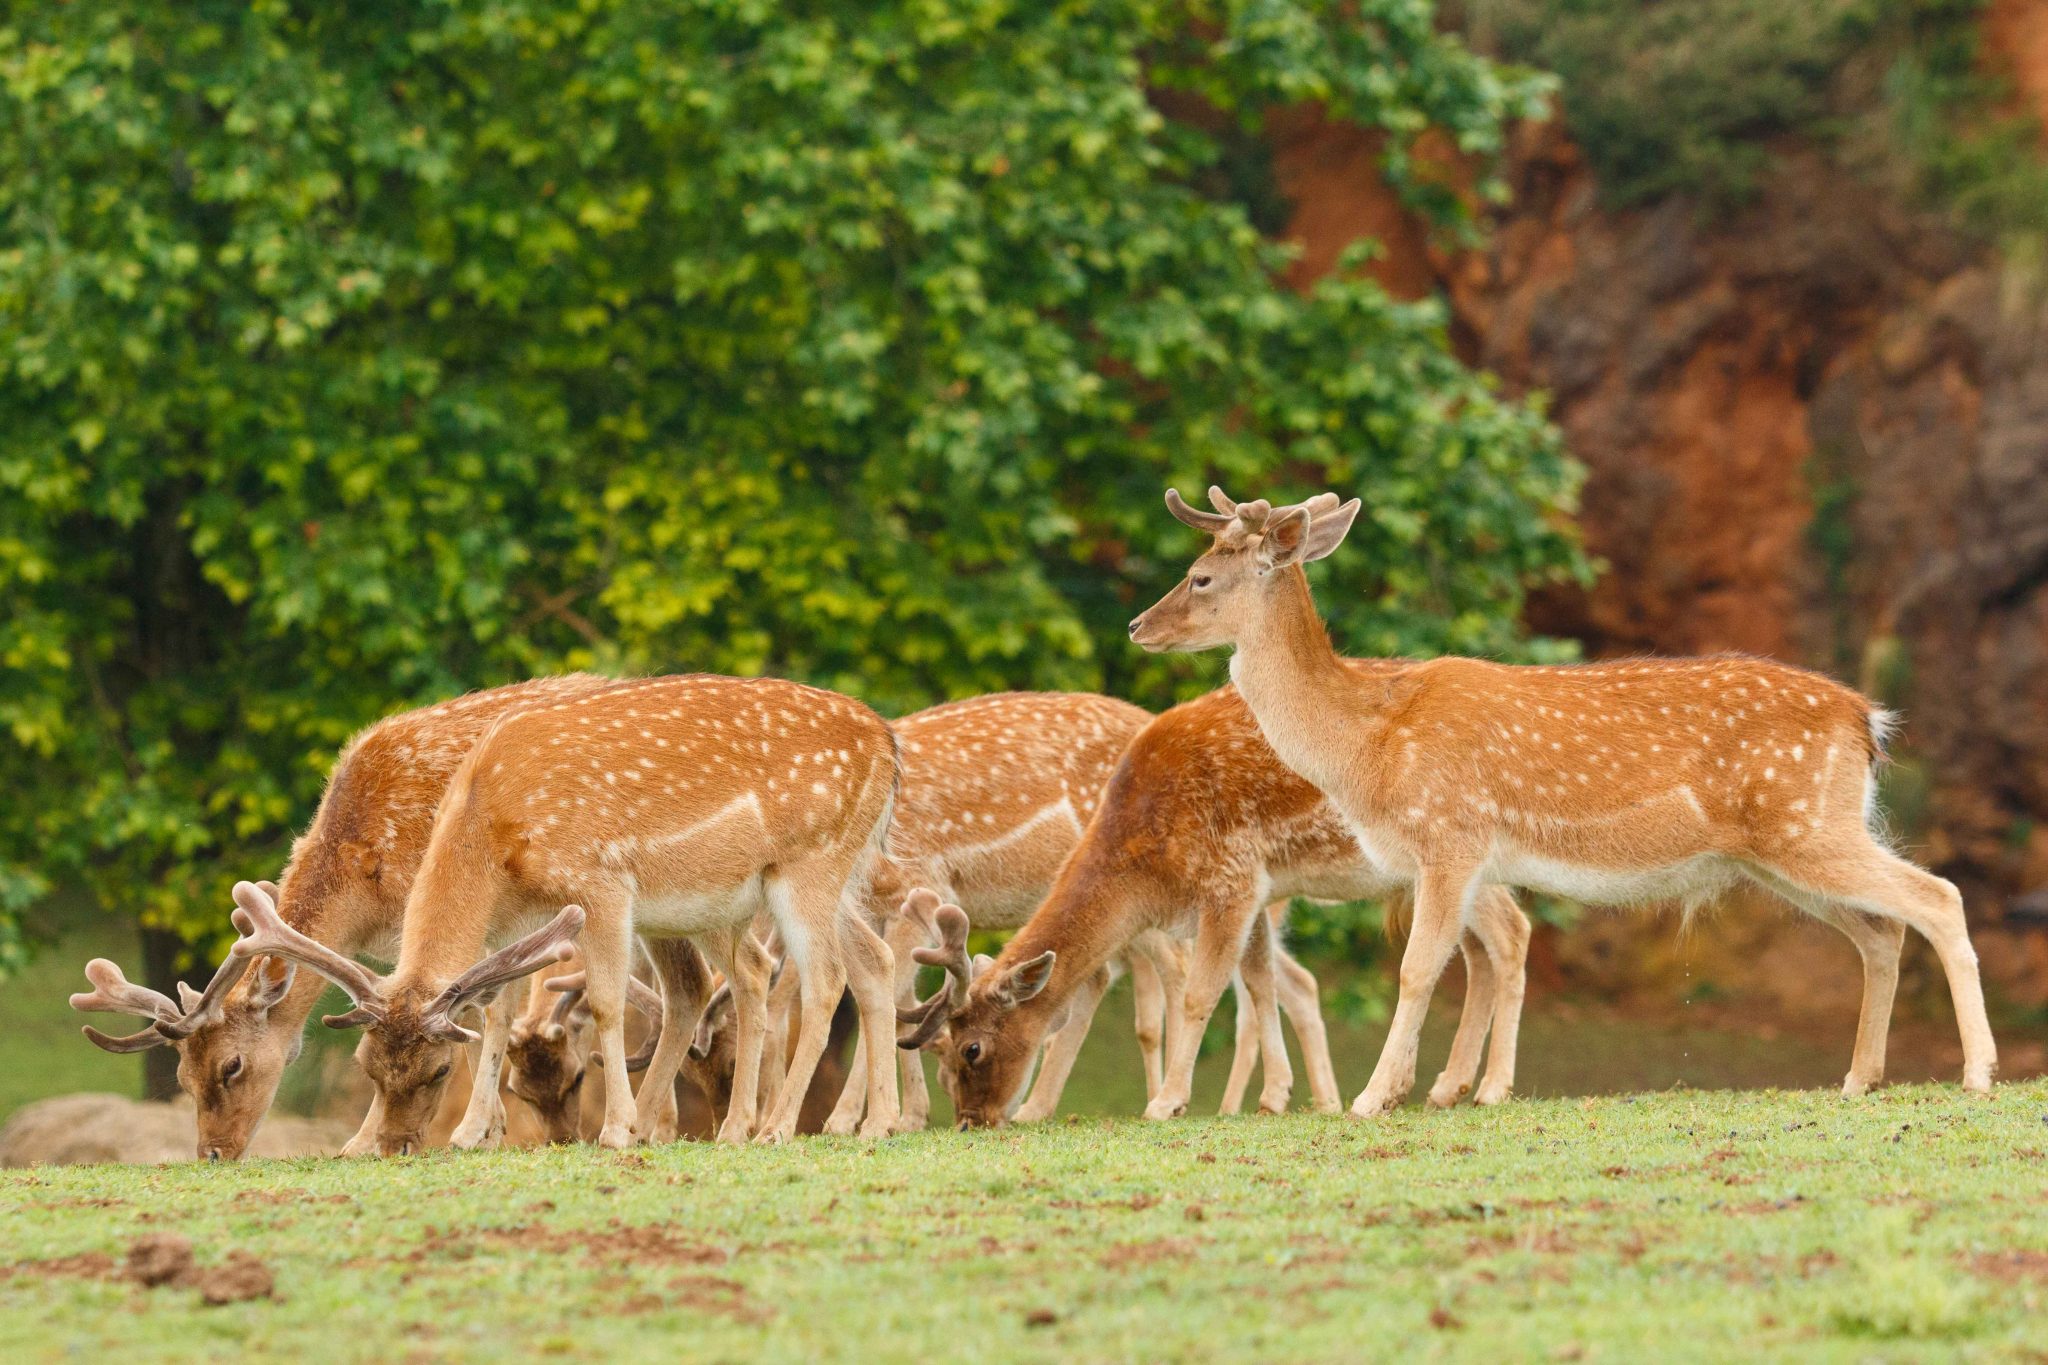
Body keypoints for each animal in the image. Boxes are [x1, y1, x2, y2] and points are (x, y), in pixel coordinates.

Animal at [68, 679, 618, 1162]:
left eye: (233, 1065)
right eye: (183, 1078)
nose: (213, 1153)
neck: (363, 884)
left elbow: (474, 1015)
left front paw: (457, 1134)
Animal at [201, 675, 905, 1154]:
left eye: (437, 1072)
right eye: (367, 1068)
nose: (397, 1146)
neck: (491, 823)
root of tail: (887, 740)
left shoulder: (602, 881)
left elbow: (604, 1004)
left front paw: (614, 1130)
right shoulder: (515, 919)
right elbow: (495, 1011)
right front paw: (475, 1134)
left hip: (806, 864)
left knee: (820, 980)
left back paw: (776, 1129)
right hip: (785, 887)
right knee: (839, 964)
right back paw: (844, 1124)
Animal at [901, 679, 1540, 1129]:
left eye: (972, 1049)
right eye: (941, 1050)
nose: (969, 1122)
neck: (1146, 862)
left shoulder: (1229, 880)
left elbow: (1200, 994)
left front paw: (1168, 1103)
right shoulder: (1256, 886)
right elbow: (1257, 984)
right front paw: (1274, 1097)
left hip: (1455, 847)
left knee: (1512, 931)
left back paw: (1490, 1088)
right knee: (1477, 953)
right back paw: (1447, 1087)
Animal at [1130, 485, 1990, 1113]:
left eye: (1201, 576)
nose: (1139, 624)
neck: (1368, 742)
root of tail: (1866, 719)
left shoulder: (1449, 833)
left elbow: (1416, 968)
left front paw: (1376, 1097)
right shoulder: (1462, 858)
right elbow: (1471, 959)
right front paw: (1444, 1088)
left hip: (1805, 823)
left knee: (1938, 895)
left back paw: (1978, 1072)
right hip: (1784, 849)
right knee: (1881, 930)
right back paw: (1859, 1076)